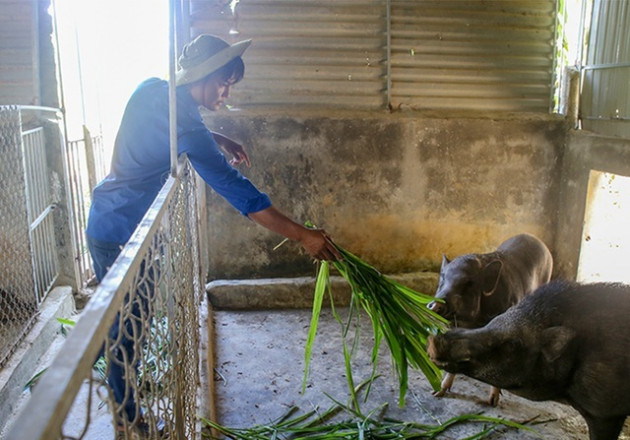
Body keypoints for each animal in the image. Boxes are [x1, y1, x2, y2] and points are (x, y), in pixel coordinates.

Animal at [430, 234, 552, 406]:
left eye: (468, 283)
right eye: (442, 278)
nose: (435, 303)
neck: (473, 323)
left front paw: (492, 402)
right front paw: (436, 393)